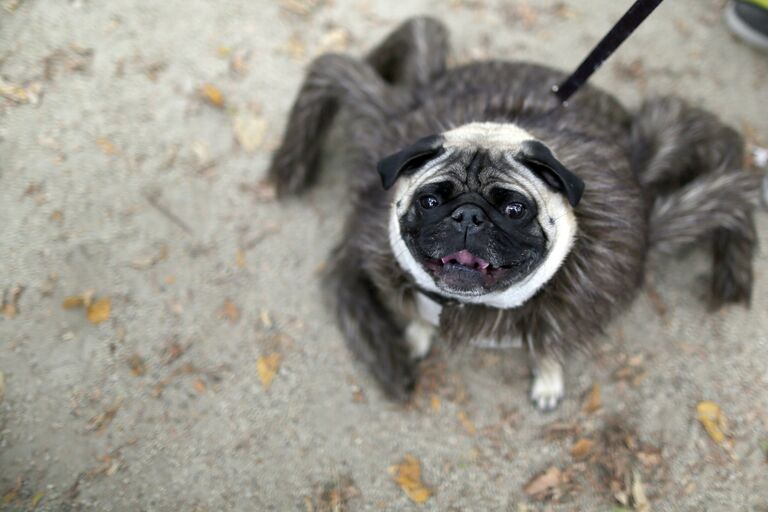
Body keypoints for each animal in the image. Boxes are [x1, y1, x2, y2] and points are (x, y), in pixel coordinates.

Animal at [268, 16, 760, 410]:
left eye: (514, 208)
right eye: (431, 201)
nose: (468, 216)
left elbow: (549, 347)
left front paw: (548, 382)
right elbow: (416, 312)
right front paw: (414, 338)